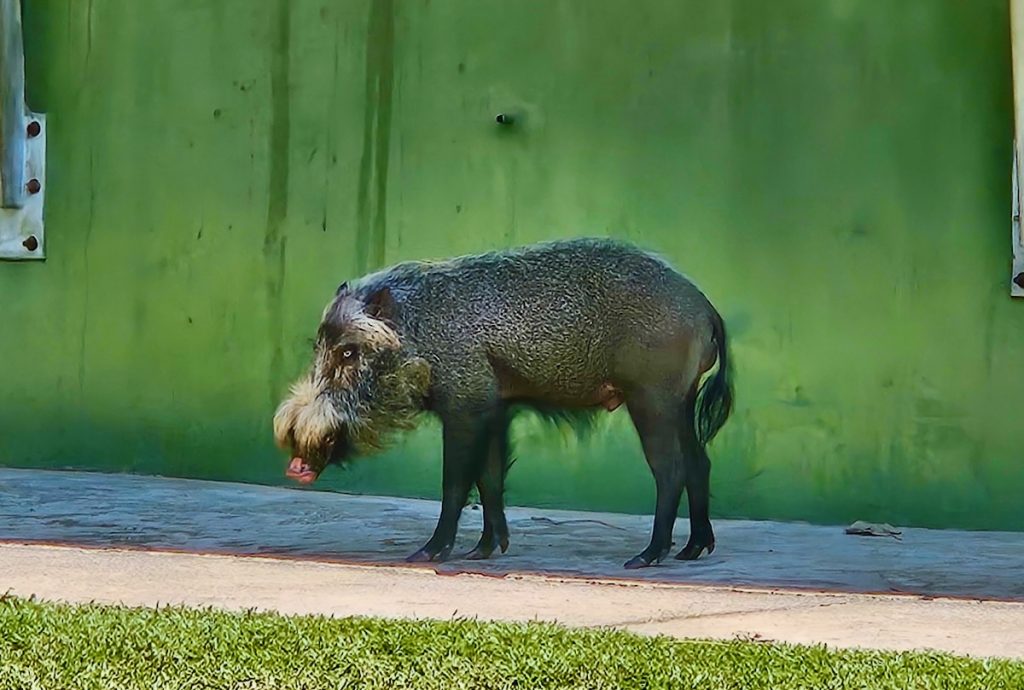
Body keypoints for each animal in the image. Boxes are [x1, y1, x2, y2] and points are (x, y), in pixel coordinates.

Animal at [273, 237, 733, 569]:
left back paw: (643, 559)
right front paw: (482, 552)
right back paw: (692, 551)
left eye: (348, 353)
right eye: (319, 347)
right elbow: (490, 478)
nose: (294, 461)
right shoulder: (495, 409)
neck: (419, 335)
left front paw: (424, 555)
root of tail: (707, 308)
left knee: (670, 470)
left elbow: (456, 482)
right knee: (700, 462)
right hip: (682, 401)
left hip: (653, 398)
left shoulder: (466, 407)